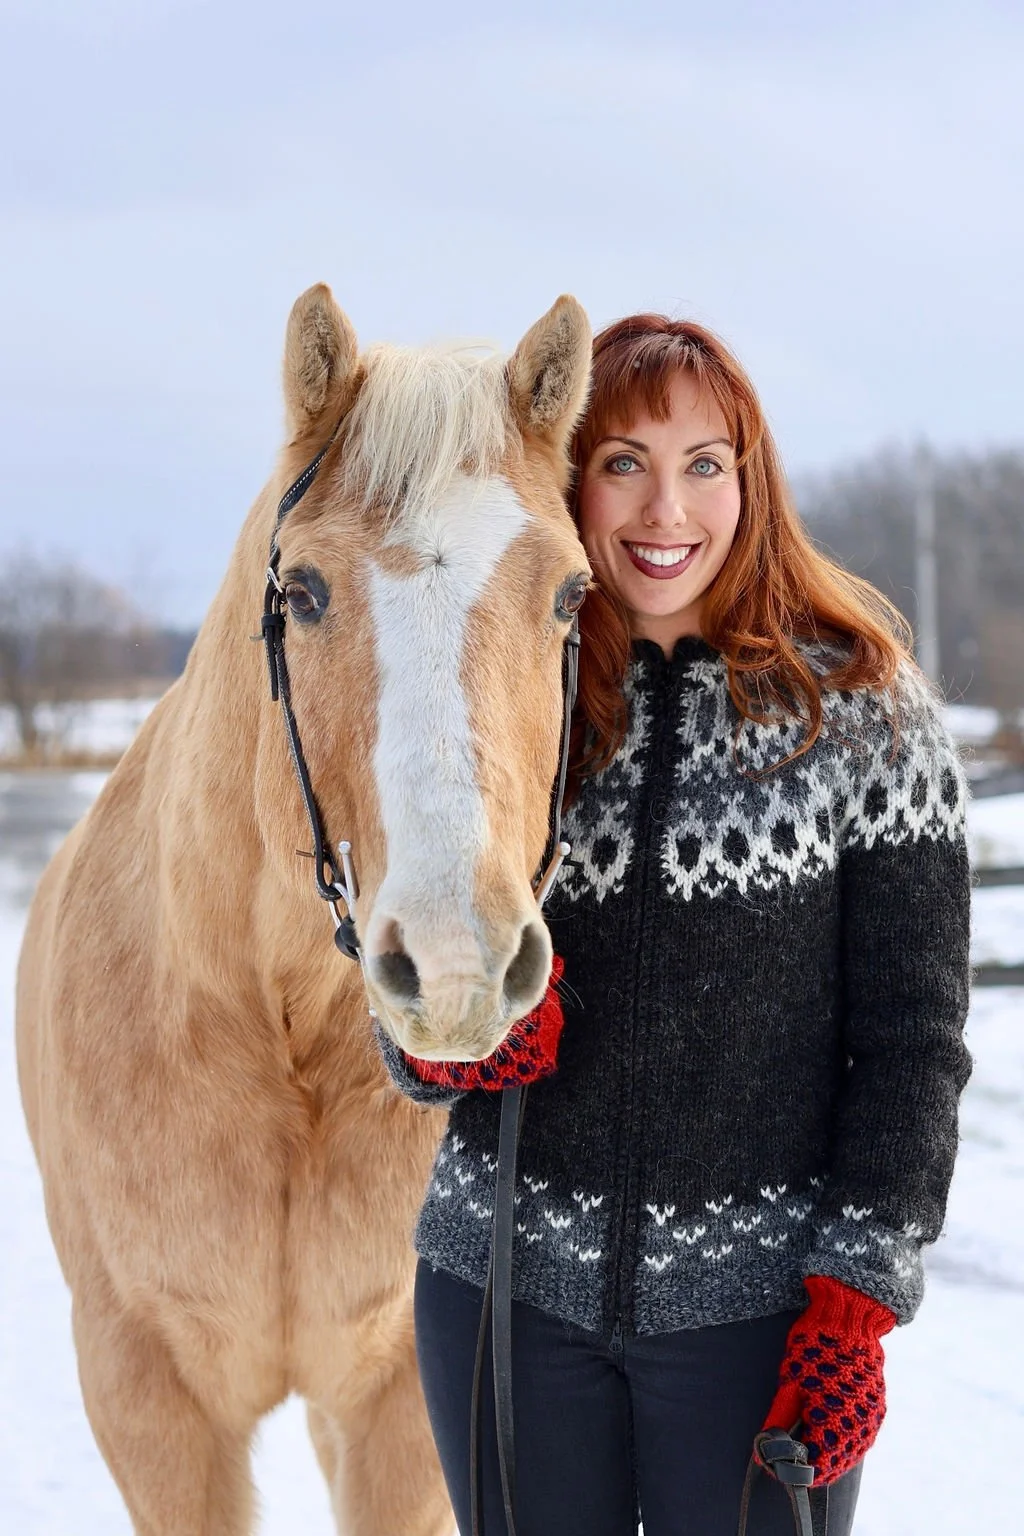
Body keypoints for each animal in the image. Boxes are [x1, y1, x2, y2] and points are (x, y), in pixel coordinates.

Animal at [16, 282, 593, 1534]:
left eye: (572, 594)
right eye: (302, 593)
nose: (458, 966)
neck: (276, 1038)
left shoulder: (401, 1404)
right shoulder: (148, 1399)